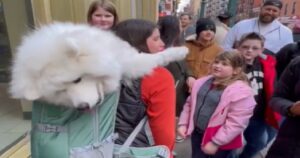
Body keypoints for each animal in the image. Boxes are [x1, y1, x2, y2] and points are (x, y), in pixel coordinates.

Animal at [10, 22, 188, 108]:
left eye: (77, 80)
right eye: (60, 91)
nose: (82, 107)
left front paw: (180, 50)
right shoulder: (133, 63)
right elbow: (159, 56)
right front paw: (181, 51)